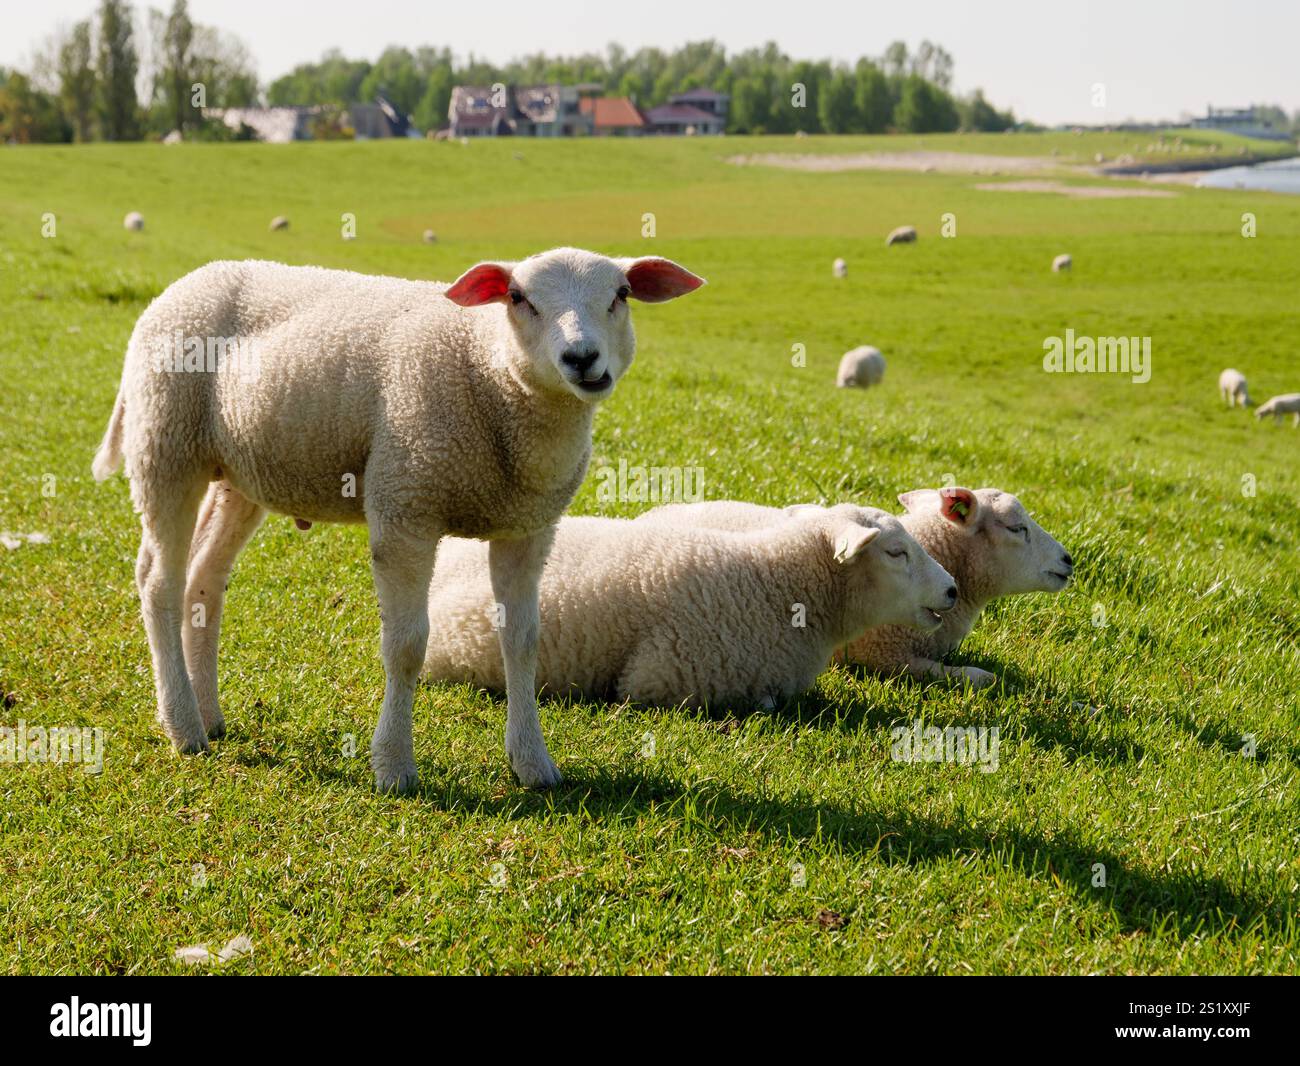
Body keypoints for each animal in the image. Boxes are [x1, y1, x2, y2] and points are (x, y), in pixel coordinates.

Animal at [91, 248, 704, 792]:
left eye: (620, 295)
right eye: (518, 297)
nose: (581, 358)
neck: (487, 368)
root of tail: (179, 288)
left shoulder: (527, 529)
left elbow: (524, 641)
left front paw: (533, 763)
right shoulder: (404, 508)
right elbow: (407, 646)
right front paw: (393, 768)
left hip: (240, 473)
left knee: (204, 580)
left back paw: (209, 713)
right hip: (166, 447)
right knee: (159, 582)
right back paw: (183, 727)